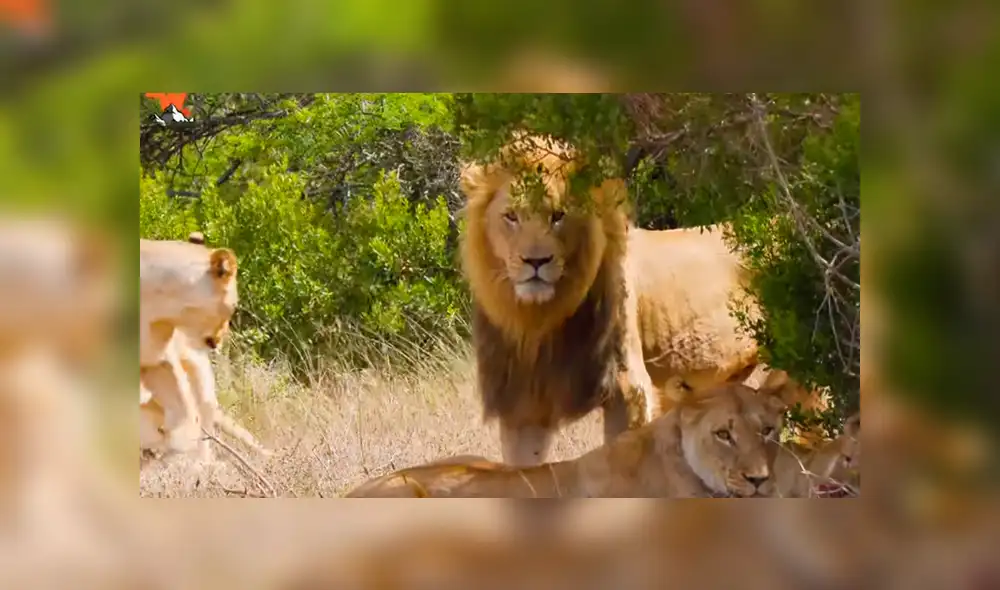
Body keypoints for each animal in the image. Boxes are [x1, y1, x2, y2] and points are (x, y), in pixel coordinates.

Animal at [459, 133, 785, 467]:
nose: (536, 261)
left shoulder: (628, 390)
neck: (539, 322)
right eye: (511, 217)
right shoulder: (521, 408)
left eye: (558, 216)